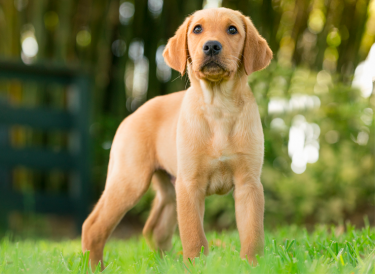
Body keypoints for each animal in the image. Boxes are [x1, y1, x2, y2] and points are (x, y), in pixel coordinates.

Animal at [81, 6, 274, 272]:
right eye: (197, 29)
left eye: (232, 29)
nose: (211, 46)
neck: (218, 107)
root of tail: (131, 115)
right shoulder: (190, 184)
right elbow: (194, 236)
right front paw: (196, 265)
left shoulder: (249, 184)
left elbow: (253, 232)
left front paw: (252, 265)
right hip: (130, 180)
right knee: (93, 225)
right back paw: (94, 266)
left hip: (169, 190)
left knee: (155, 230)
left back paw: (166, 264)